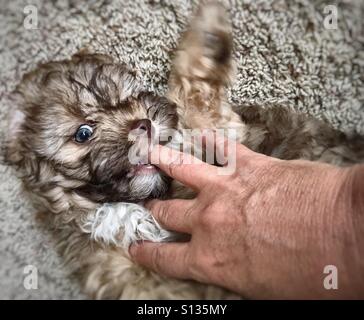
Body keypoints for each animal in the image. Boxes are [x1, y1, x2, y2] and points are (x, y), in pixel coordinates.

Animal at [5, 1, 364, 300]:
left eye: (132, 98)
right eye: (83, 133)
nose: (144, 124)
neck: (135, 207)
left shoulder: (218, 134)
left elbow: (193, 96)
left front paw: (209, 30)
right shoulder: (130, 277)